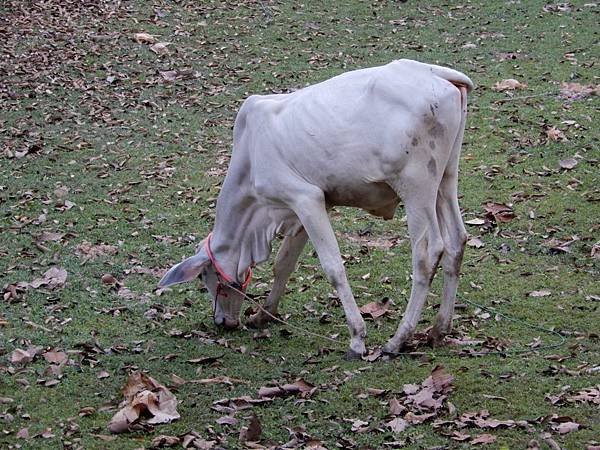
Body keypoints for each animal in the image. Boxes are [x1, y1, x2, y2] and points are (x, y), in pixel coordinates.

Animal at [159, 59, 474, 358]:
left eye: (205, 277)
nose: (222, 321)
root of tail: (439, 75)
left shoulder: (305, 198)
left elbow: (333, 267)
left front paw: (357, 338)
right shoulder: (307, 206)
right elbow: (283, 263)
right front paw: (264, 314)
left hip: (416, 186)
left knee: (428, 254)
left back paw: (398, 340)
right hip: (445, 178)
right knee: (457, 241)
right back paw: (439, 329)